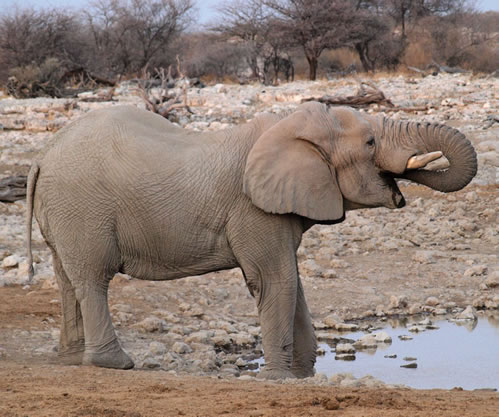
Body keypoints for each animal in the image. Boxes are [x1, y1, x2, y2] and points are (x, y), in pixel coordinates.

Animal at [26, 102, 476, 378]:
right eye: (370, 143)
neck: (291, 126)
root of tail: (42, 155)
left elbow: (293, 282)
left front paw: (304, 373)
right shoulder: (255, 210)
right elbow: (275, 280)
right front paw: (279, 378)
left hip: (64, 212)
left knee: (67, 278)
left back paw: (71, 358)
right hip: (83, 208)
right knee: (93, 279)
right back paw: (115, 364)